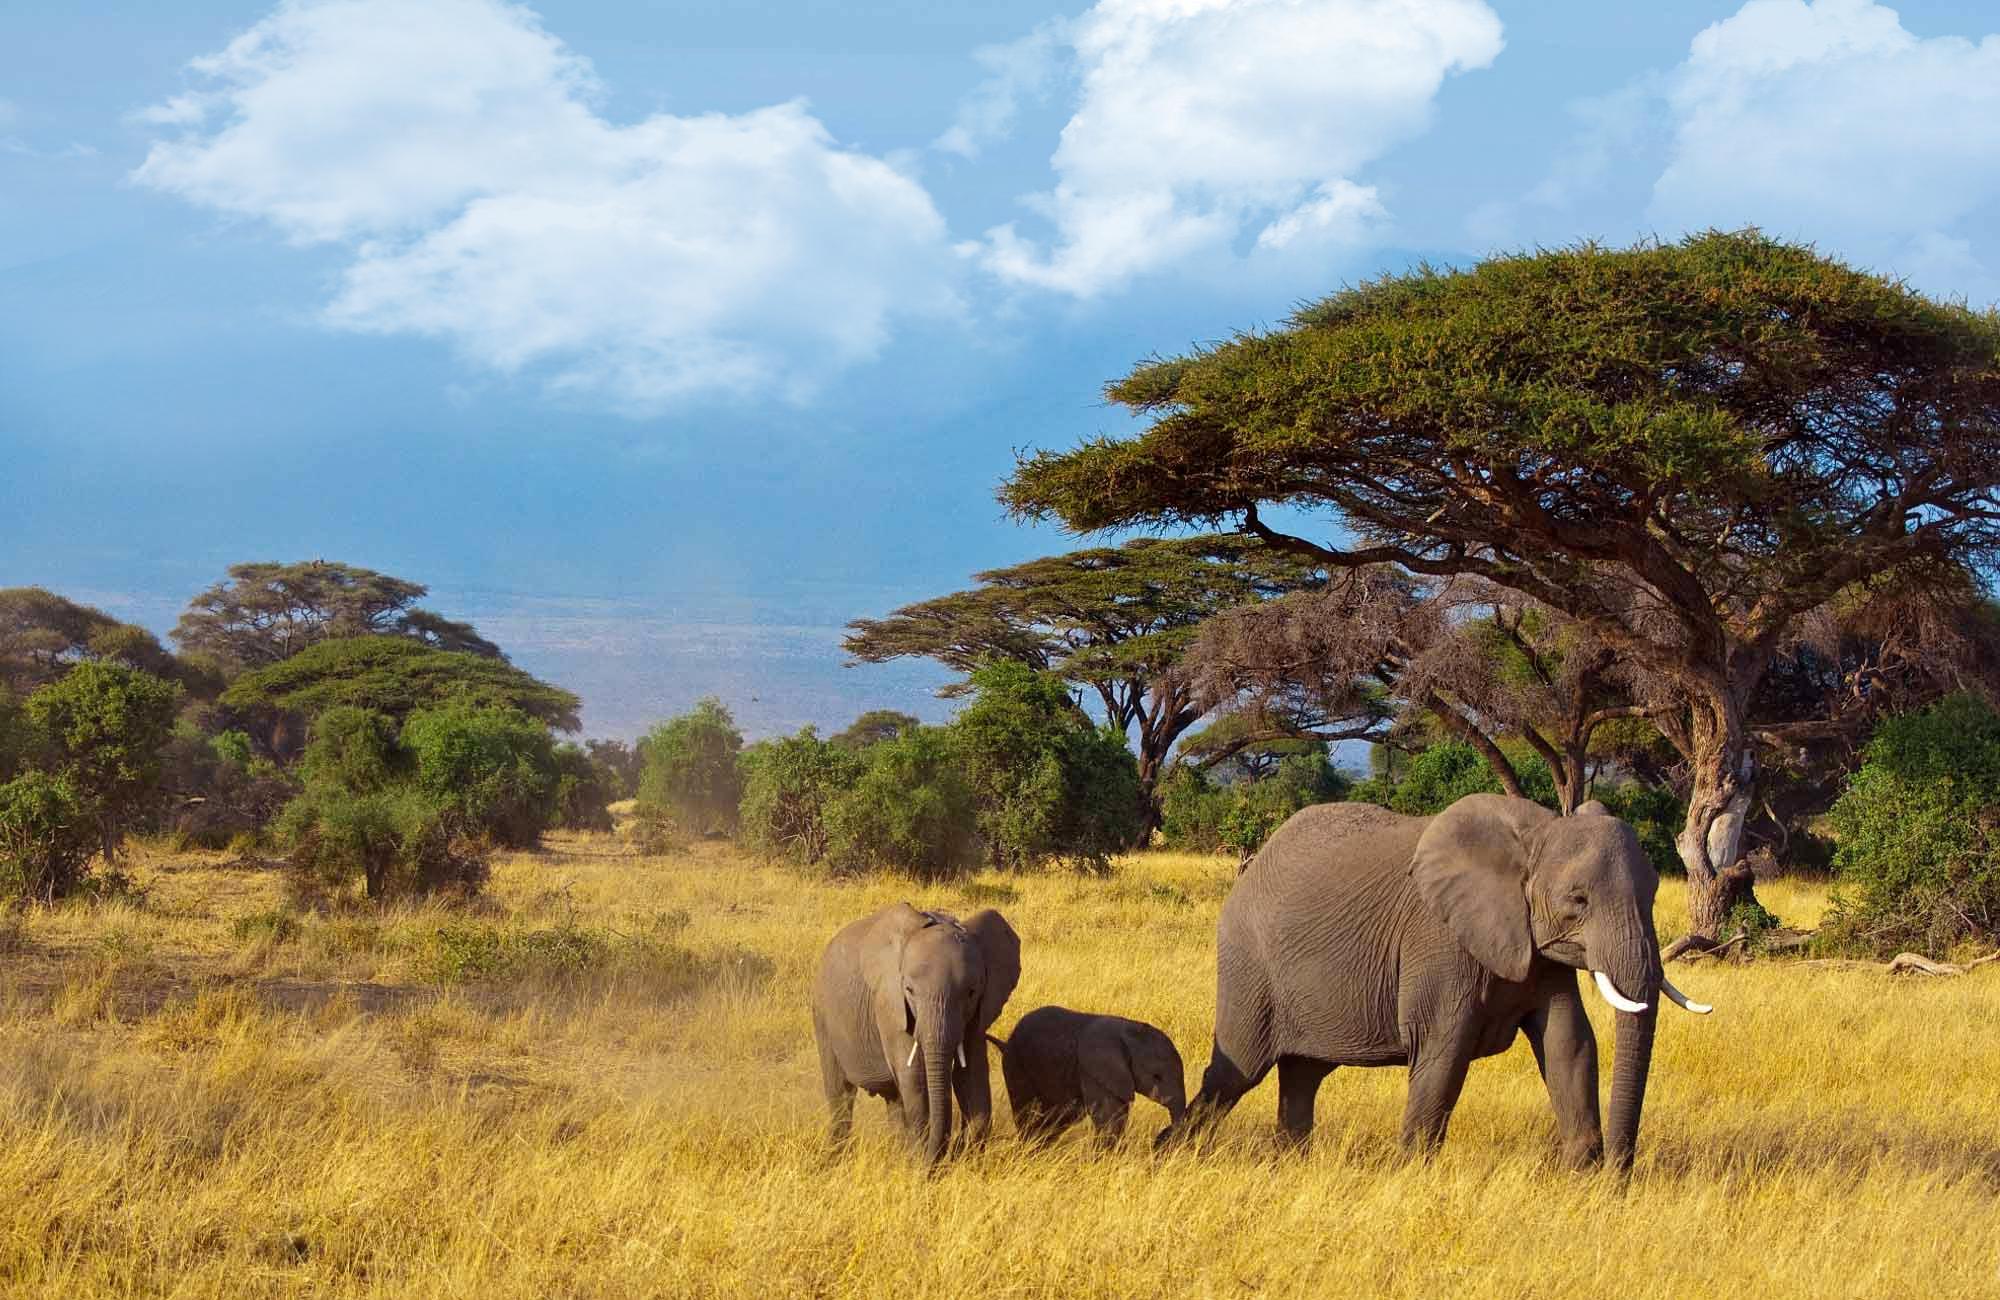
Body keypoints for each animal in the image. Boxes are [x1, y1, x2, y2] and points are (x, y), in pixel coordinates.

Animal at [804, 900, 1016, 1168]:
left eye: (971, 992)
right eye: (910, 990)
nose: (943, 1159)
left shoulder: (979, 1012)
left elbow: (971, 1076)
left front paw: (959, 1159)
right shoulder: (889, 1004)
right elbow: (914, 1078)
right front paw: (920, 1164)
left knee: (893, 1100)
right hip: (822, 1012)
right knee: (840, 1092)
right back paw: (836, 1159)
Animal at [1000, 1004, 1184, 1144]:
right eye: (1156, 1076)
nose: (1163, 1135)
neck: (1129, 1030)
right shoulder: (1094, 1069)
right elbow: (1108, 1117)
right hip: (1015, 1062)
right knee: (1027, 1110)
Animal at [1168, 788, 1712, 1168]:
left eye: (1654, 892)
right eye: (1577, 901)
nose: (1621, 1173)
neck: (1537, 834)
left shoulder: (1537, 951)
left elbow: (1569, 1043)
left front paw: (1582, 1174)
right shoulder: (1439, 940)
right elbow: (1443, 1050)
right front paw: (1412, 1172)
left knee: (1302, 1078)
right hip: (1248, 964)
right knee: (1236, 1072)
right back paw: (1171, 1152)